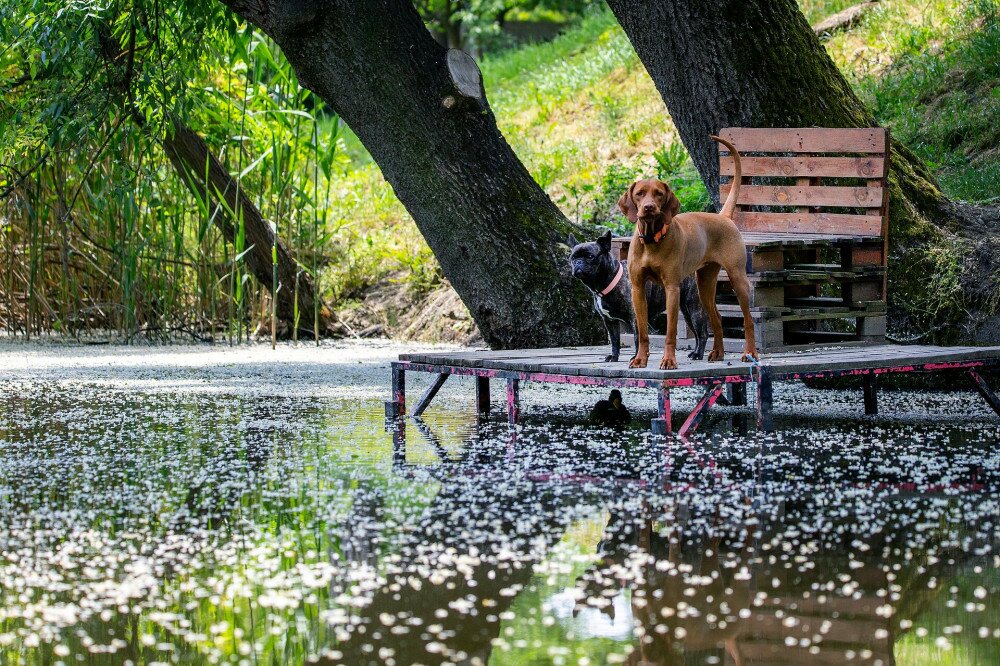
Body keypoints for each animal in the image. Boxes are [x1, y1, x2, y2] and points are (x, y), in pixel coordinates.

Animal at [572, 230, 712, 364]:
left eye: (590, 256)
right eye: (572, 258)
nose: (578, 262)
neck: (609, 280)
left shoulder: (635, 318)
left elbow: (637, 339)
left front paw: (636, 357)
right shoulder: (610, 322)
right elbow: (615, 341)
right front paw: (614, 356)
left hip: (695, 309)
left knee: (702, 334)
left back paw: (698, 355)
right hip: (687, 314)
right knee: (696, 334)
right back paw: (695, 353)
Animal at [616, 136, 756, 370]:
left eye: (659, 194)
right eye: (639, 194)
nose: (648, 207)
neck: (652, 240)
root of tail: (723, 216)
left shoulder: (672, 288)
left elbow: (670, 332)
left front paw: (669, 360)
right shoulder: (637, 288)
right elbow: (642, 331)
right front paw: (640, 359)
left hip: (738, 279)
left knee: (748, 320)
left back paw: (750, 353)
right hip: (704, 284)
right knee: (717, 317)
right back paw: (718, 353)